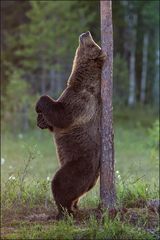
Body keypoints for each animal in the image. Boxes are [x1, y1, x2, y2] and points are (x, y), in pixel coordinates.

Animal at [35, 31, 105, 219]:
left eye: (93, 44)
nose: (86, 32)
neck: (79, 82)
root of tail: (94, 177)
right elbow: (53, 122)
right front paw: (41, 121)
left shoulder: (80, 102)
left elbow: (62, 115)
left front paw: (39, 104)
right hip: (87, 179)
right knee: (77, 193)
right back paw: (74, 206)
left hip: (78, 165)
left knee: (61, 183)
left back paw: (63, 211)